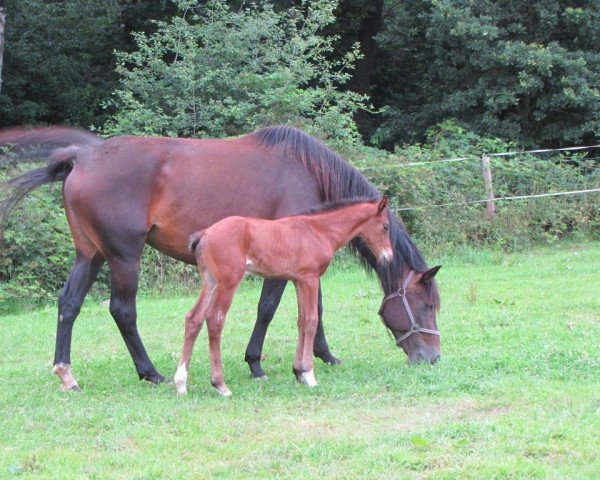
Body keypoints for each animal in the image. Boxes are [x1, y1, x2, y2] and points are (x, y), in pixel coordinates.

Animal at [173, 197, 392, 396]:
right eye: (386, 227)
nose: (388, 257)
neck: (318, 231)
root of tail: (204, 233)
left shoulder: (298, 281)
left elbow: (302, 320)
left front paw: (298, 372)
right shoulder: (310, 278)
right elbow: (312, 320)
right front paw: (309, 375)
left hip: (210, 281)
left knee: (194, 318)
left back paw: (181, 383)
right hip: (228, 283)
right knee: (214, 320)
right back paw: (220, 385)